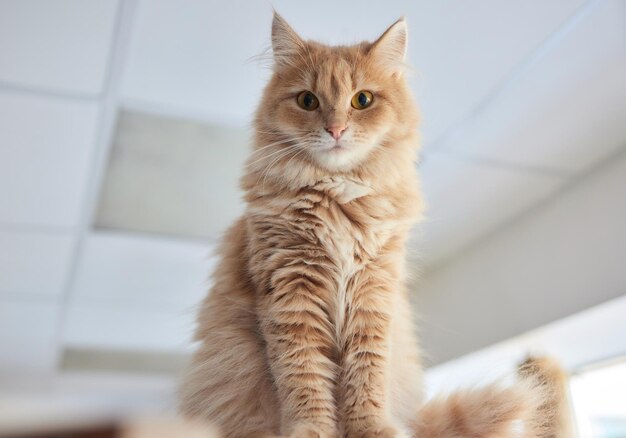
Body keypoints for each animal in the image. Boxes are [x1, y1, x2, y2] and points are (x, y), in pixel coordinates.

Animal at [178, 12, 568, 436]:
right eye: (307, 101)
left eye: (361, 100)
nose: (335, 130)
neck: (338, 200)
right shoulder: (291, 293)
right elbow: (305, 377)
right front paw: (313, 430)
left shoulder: (373, 293)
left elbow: (366, 376)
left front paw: (370, 428)